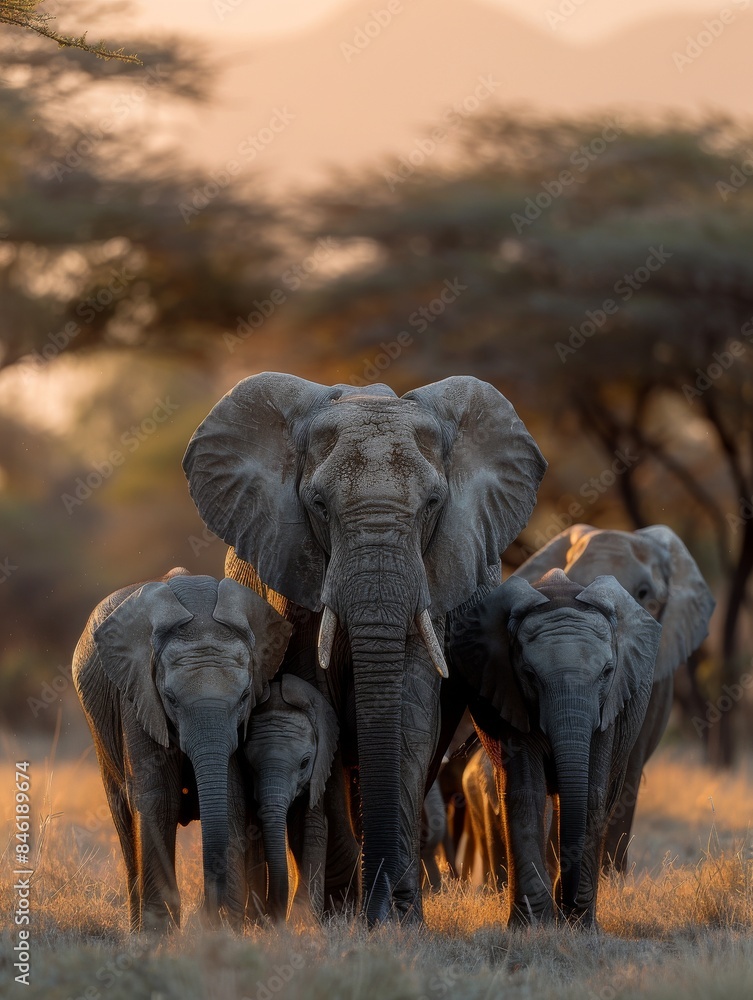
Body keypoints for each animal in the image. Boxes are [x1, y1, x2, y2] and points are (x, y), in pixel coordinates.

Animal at [72, 568, 292, 932]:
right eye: (171, 700)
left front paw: (226, 929)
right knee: (123, 817)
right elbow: (159, 798)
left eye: (245, 697)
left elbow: (231, 796)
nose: (206, 913)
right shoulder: (138, 695)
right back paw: (138, 927)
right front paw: (159, 935)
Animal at [243, 673, 341, 921]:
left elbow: (314, 827)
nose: (271, 917)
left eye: (305, 763)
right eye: (249, 766)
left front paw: (302, 920)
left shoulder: (319, 771)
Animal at [448, 568, 662, 927]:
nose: (568, 902)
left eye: (607, 672)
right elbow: (526, 792)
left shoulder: (608, 710)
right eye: (529, 675)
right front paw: (532, 925)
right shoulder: (509, 695)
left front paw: (579, 925)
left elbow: (590, 794)